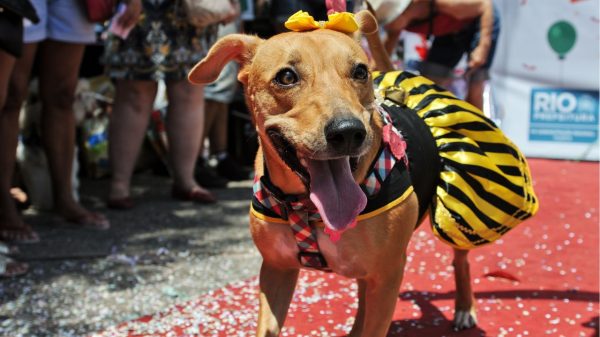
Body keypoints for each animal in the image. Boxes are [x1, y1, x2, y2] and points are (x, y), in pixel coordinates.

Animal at [188, 11, 510, 336]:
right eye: (287, 77)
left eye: (360, 71)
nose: (347, 132)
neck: (309, 209)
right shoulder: (277, 268)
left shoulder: (388, 274)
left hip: (454, 218)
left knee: (460, 260)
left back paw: (465, 309)